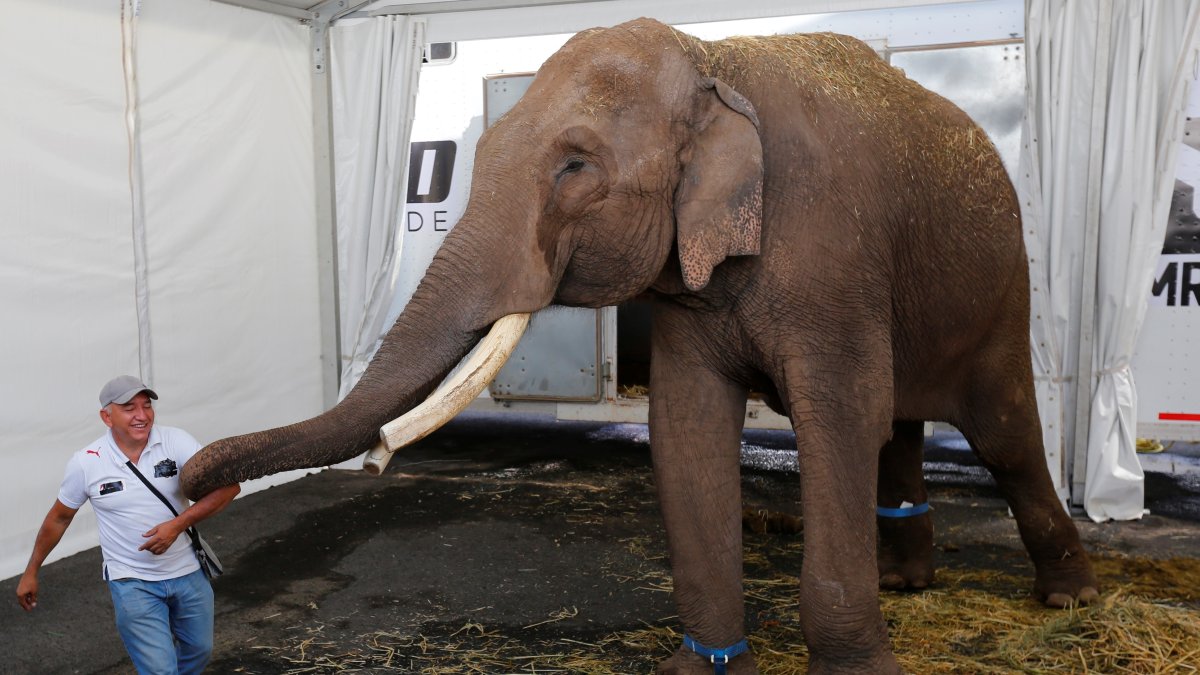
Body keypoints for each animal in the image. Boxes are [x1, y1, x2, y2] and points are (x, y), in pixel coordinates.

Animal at [182, 18, 1099, 674]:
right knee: (900, 431)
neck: (717, 60)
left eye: (575, 167)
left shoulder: (829, 252)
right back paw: (909, 582)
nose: (187, 481)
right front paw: (703, 665)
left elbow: (837, 422)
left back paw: (1068, 599)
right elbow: (688, 430)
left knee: (1004, 435)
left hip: (1003, 294)